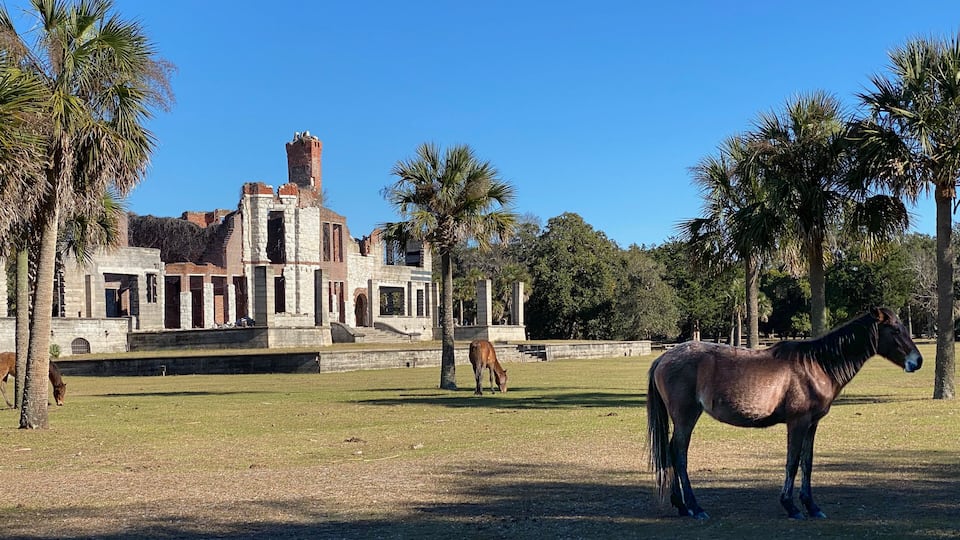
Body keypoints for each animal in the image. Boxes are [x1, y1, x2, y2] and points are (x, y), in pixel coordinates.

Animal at [646, 307, 921, 520]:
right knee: (679, 454)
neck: (816, 365)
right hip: (686, 417)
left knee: (672, 452)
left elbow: (807, 463)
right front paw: (791, 506)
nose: (917, 361)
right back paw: (694, 507)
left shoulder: (811, 424)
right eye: (895, 330)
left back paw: (682, 506)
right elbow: (792, 462)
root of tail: (664, 357)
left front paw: (812, 506)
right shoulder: (797, 423)